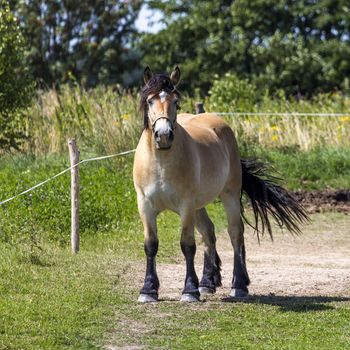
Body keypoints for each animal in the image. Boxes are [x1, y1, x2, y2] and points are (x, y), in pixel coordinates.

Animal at [133, 67, 308, 302]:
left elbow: (187, 245)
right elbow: (151, 245)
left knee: (235, 233)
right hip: (199, 206)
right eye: (150, 101)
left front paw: (189, 291)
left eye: (176, 102)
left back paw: (239, 285)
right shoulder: (145, 205)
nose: (164, 135)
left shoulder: (186, 206)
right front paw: (148, 290)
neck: (161, 163)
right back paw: (207, 283)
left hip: (228, 196)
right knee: (209, 232)